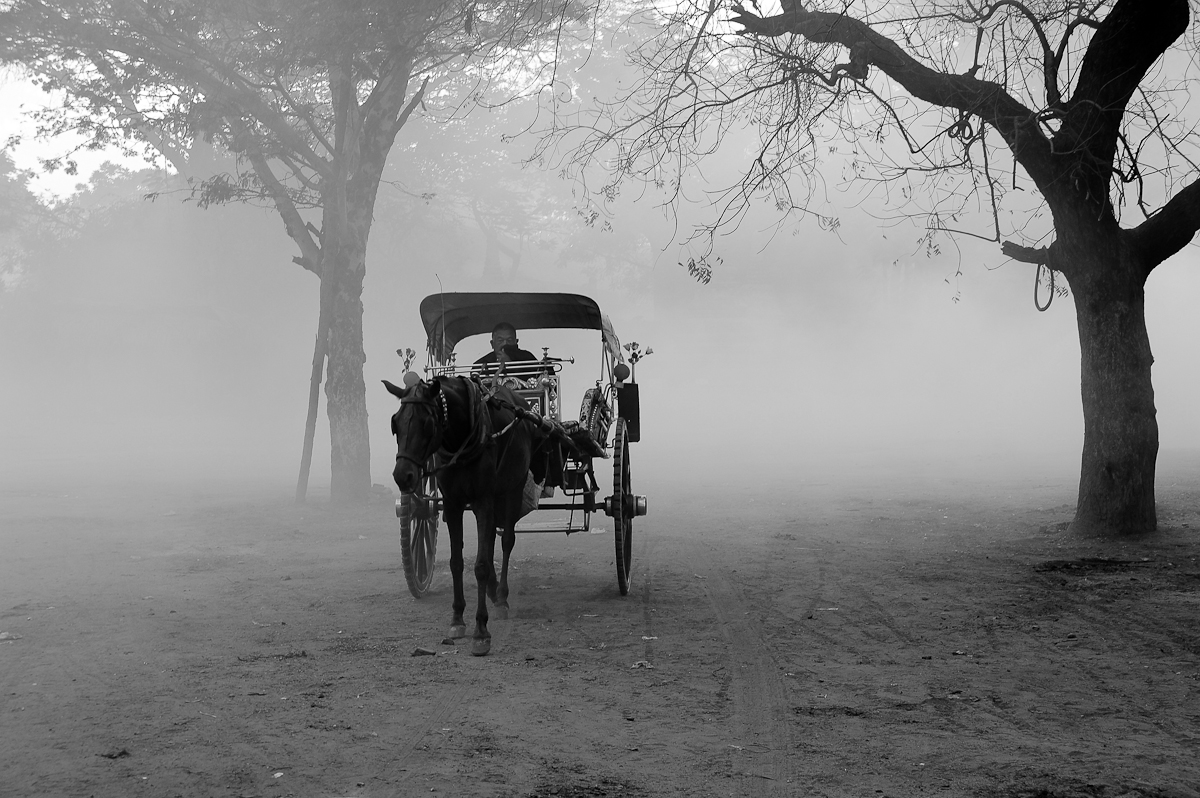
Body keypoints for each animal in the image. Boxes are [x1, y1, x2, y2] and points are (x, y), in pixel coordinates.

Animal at [384, 374, 540, 652]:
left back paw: (501, 597)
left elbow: (480, 564)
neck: (462, 437)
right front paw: (457, 619)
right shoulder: (453, 503)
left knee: (506, 540)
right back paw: (492, 590)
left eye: (427, 424)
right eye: (395, 424)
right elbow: (457, 562)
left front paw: (481, 630)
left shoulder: (483, 500)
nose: (403, 476)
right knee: (491, 541)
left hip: (513, 487)